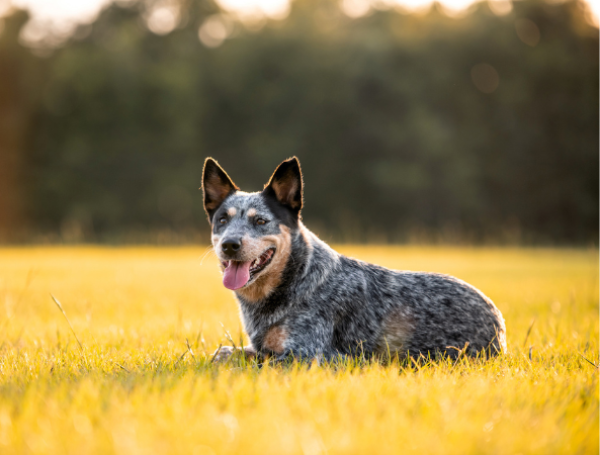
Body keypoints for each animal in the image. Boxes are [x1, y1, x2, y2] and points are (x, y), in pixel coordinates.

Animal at [203, 157, 506, 364]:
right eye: (223, 220)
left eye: (260, 221)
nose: (230, 244)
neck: (297, 279)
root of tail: (497, 318)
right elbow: (223, 352)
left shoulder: (311, 356)